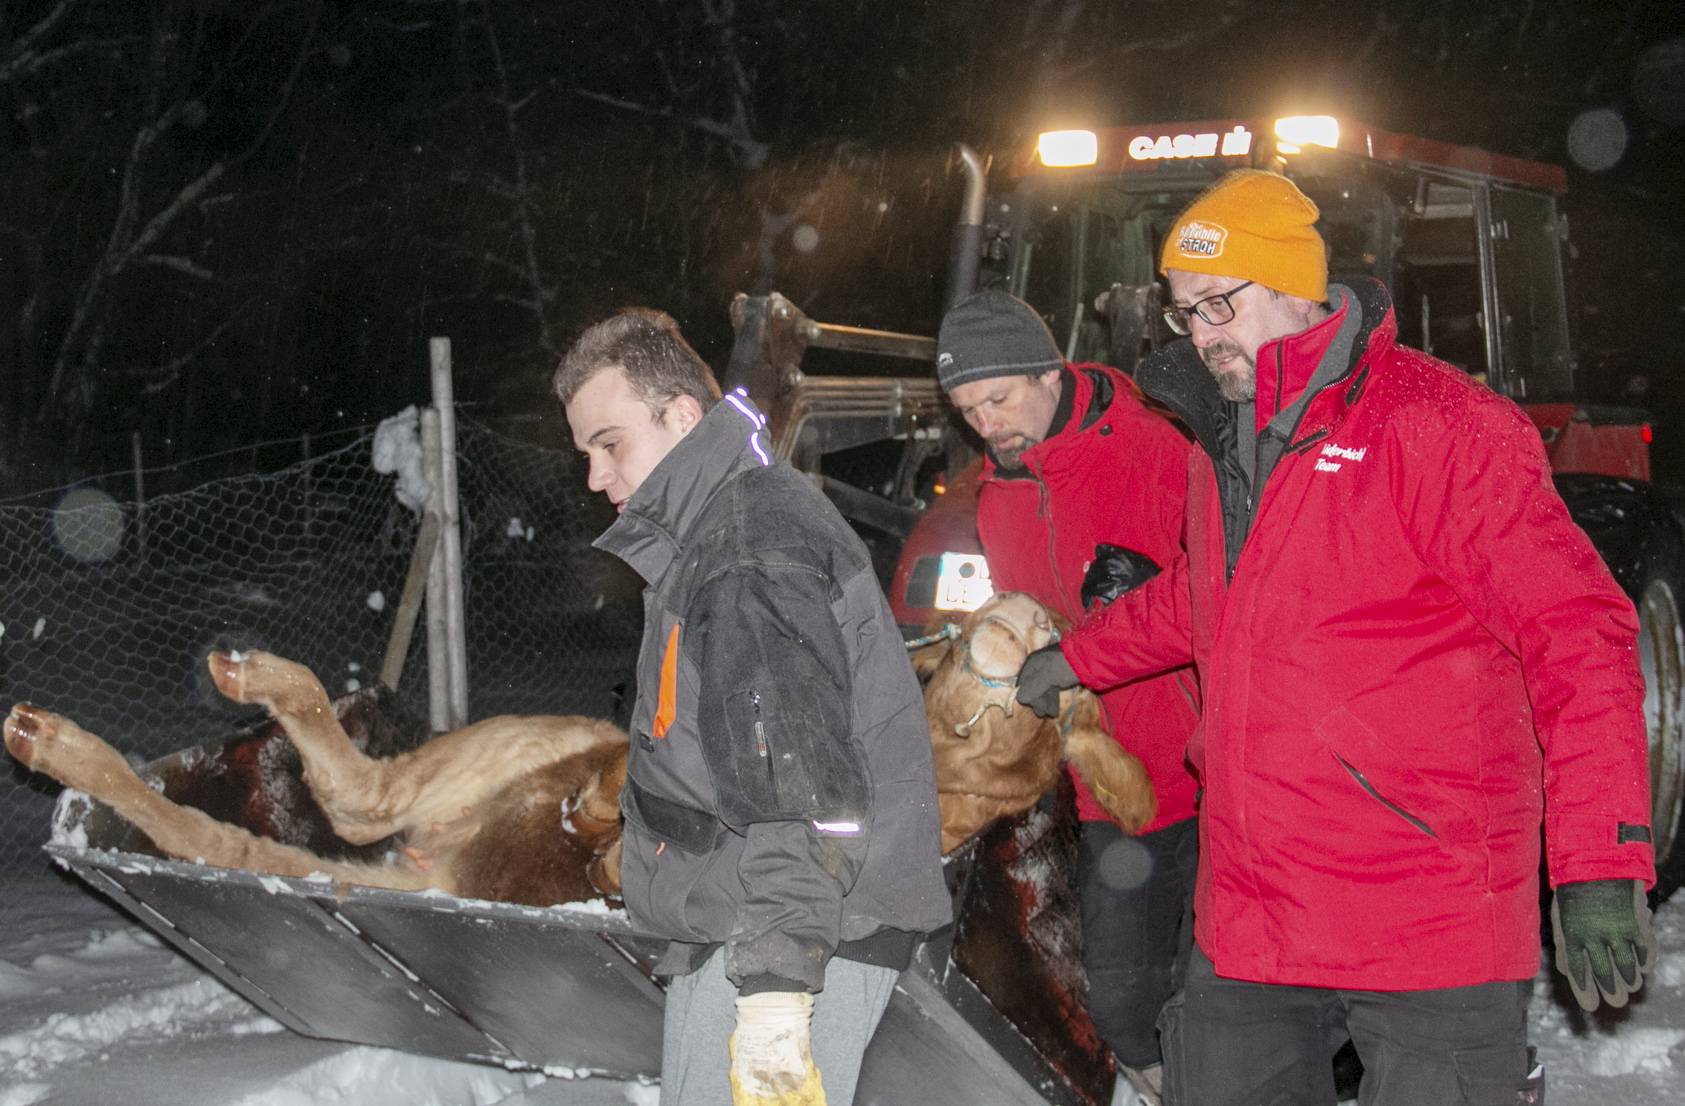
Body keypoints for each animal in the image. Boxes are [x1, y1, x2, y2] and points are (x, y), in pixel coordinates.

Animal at [0, 593, 1152, 903]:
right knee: (343, 776)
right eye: (948, 647)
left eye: (1056, 708)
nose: (1023, 620)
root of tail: (443, 860)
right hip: (484, 757)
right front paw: (607, 816)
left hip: (408, 820)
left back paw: (52, 736)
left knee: (261, 822)